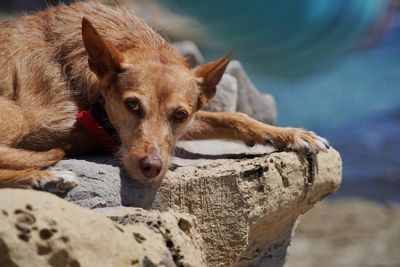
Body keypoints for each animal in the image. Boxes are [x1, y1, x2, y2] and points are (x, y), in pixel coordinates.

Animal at [0, 2, 328, 193]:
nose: (151, 167)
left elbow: (233, 116)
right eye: (132, 105)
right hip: (15, 116)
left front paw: (291, 134)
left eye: (179, 115)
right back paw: (43, 176)